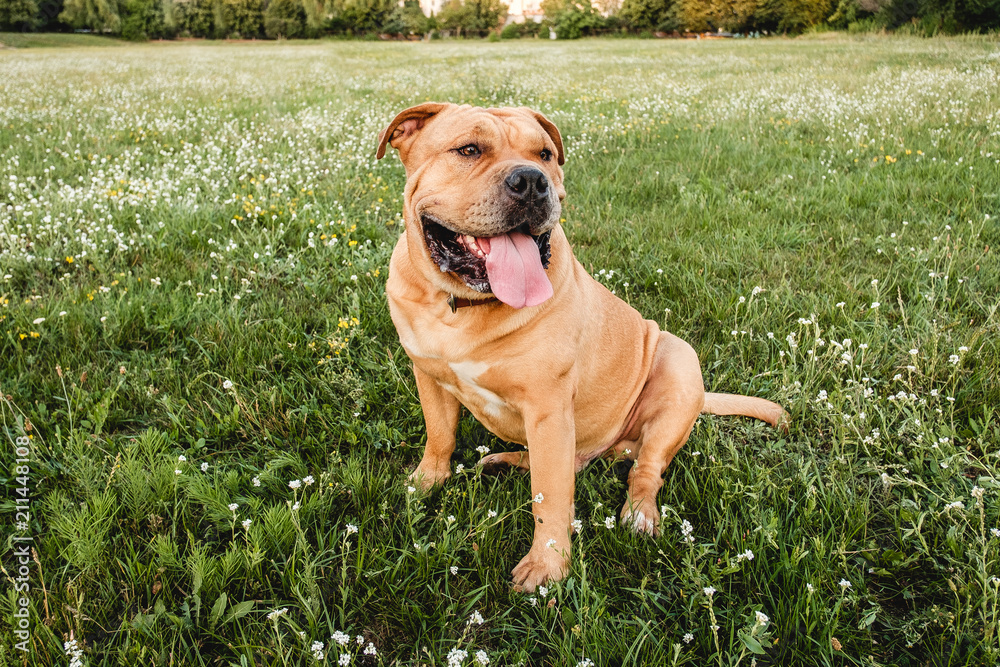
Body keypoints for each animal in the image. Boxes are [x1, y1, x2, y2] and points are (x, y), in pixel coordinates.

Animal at [374, 102, 780, 592]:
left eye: (545, 154)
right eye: (468, 150)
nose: (532, 180)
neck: (462, 304)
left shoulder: (548, 407)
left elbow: (549, 498)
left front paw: (547, 567)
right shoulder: (429, 374)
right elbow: (440, 434)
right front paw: (426, 481)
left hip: (678, 365)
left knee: (644, 468)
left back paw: (639, 513)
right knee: (568, 464)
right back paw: (505, 460)